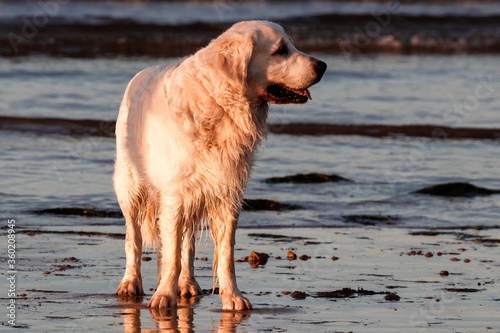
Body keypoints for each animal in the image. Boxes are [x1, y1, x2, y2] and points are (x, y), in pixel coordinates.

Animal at [114, 20, 328, 310]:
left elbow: (224, 254)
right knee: (133, 237)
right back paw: (130, 283)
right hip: (130, 186)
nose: (323, 65)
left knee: (187, 244)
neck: (220, 105)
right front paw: (164, 296)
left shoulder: (227, 193)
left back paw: (188, 284)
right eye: (281, 50)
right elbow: (169, 255)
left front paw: (232, 297)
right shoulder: (174, 194)